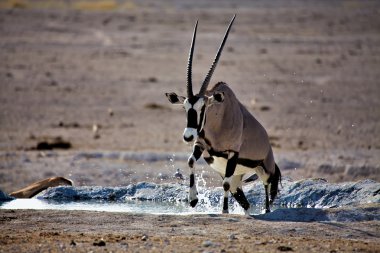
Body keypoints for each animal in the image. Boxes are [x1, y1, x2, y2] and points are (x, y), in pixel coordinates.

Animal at [165, 15, 280, 213]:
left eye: (203, 107)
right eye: (185, 107)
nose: (188, 136)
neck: (219, 119)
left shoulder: (232, 153)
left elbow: (224, 184)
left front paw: (224, 211)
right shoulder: (201, 144)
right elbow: (190, 161)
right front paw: (193, 199)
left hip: (264, 169)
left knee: (265, 188)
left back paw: (266, 211)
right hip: (237, 178)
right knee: (244, 201)